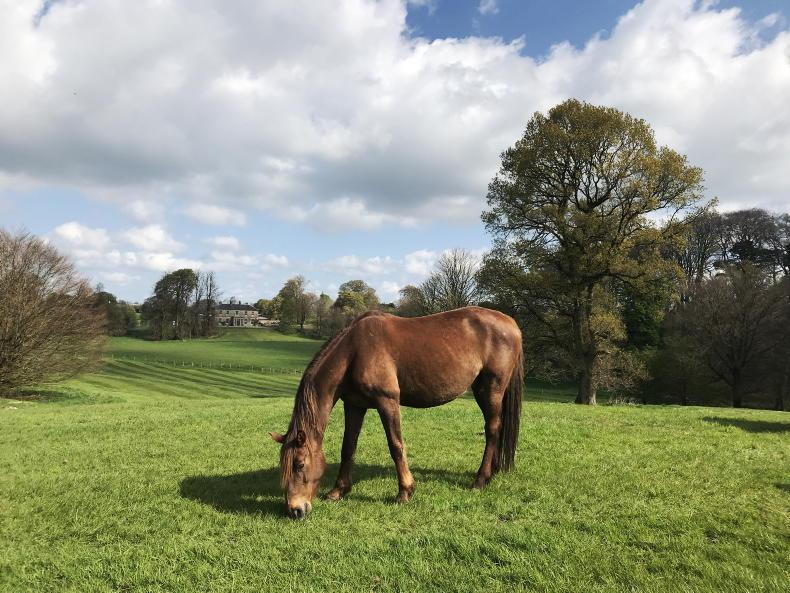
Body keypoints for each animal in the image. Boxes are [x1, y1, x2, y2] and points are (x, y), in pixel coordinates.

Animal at [268, 306, 524, 519]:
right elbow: (348, 448)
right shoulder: (354, 406)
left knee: (492, 430)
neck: (354, 351)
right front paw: (338, 491)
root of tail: (510, 322)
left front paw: (405, 492)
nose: (295, 510)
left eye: (300, 464)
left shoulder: (387, 401)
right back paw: (491, 473)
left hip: (491, 390)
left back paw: (480, 480)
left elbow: (396, 446)